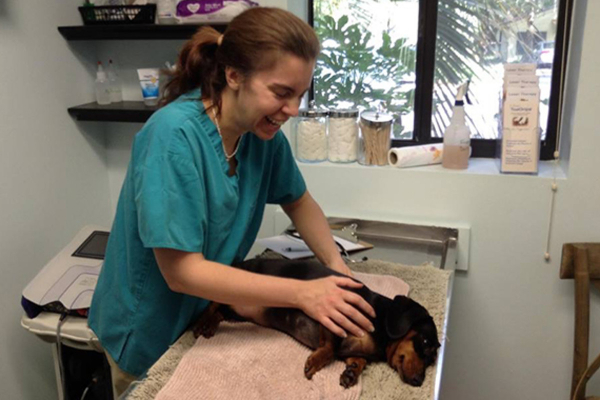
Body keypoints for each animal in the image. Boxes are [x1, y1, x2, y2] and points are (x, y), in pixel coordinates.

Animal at [193, 260, 440, 388]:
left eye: (432, 359)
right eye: (425, 342)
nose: (419, 381)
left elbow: (357, 360)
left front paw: (352, 372)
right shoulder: (333, 315)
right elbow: (330, 348)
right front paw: (316, 361)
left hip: (238, 310)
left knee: (220, 312)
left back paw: (210, 325)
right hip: (236, 287)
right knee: (212, 303)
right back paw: (202, 322)